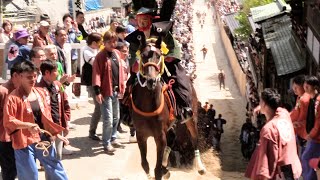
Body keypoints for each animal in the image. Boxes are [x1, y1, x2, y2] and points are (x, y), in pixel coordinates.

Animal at [131, 37, 205, 179]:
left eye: (159, 55)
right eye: (142, 56)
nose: (151, 81)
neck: (148, 106)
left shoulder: (160, 137)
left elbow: (157, 169)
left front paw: (161, 171)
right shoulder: (141, 135)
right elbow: (145, 164)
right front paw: (159, 172)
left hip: (191, 117)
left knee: (194, 139)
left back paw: (200, 167)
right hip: (171, 125)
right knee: (172, 139)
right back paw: (166, 166)